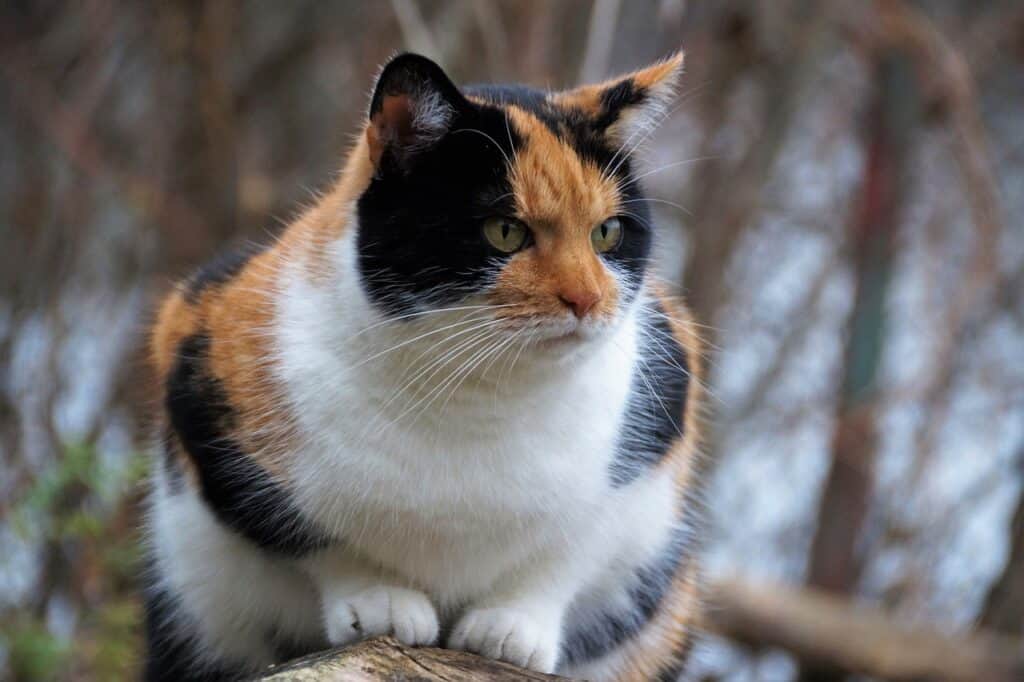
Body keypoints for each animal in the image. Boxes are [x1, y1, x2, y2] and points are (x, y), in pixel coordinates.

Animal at [144, 50, 704, 675]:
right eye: (504, 231)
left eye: (606, 233)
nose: (586, 299)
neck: (479, 396)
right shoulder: (205, 385)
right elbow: (311, 537)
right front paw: (380, 601)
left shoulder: (652, 446)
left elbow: (571, 551)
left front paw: (512, 626)